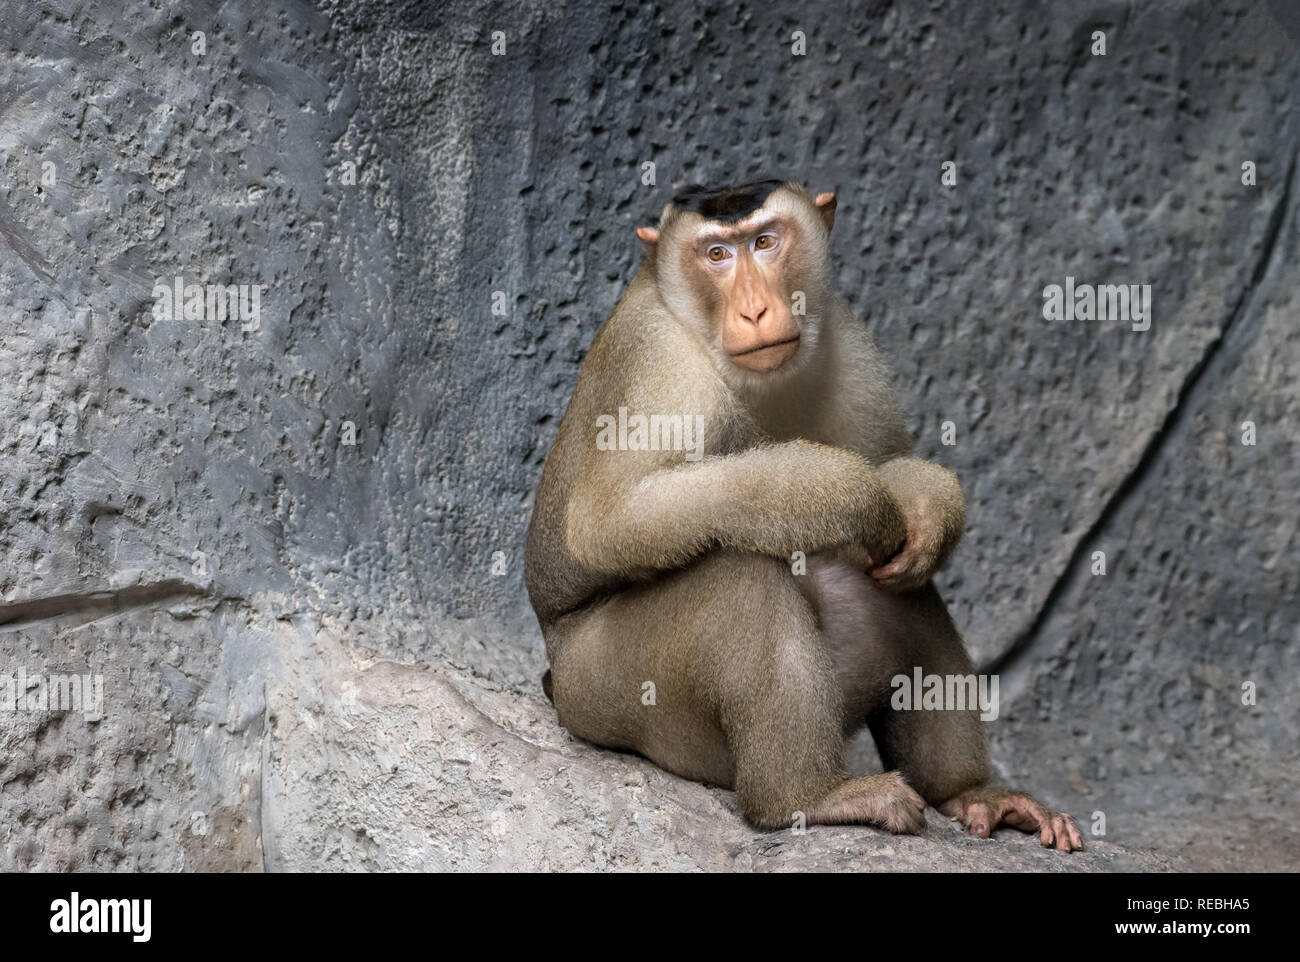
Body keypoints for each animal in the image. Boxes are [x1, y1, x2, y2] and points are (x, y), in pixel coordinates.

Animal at [522, 178, 1081, 847]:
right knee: (737, 581)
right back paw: (806, 796)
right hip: (612, 692)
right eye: (716, 254)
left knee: (901, 596)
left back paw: (966, 793)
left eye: (765, 242)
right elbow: (609, 519)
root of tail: (556, 683)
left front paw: (925, 509)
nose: (755, 311)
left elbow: (893, 464)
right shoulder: (664, 364)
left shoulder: (850, 341)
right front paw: (842, 491)